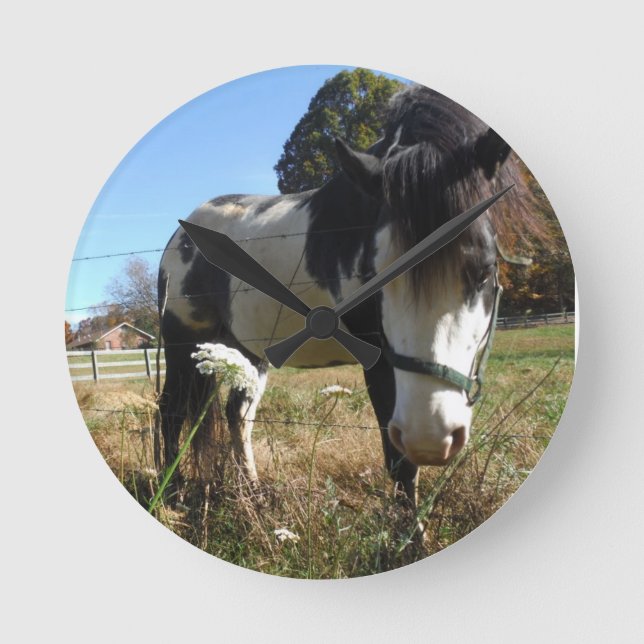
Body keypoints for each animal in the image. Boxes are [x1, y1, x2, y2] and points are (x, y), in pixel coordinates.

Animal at [157, 84, 542, 503]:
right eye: (377, 273)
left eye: (486, 269)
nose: (431, 436)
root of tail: (180, 234)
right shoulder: (379, 361)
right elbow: (400, 463)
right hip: (183, 346)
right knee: (171, 410)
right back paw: (171, 491)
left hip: (247, 351)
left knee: (237, 413)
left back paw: (253, 493)